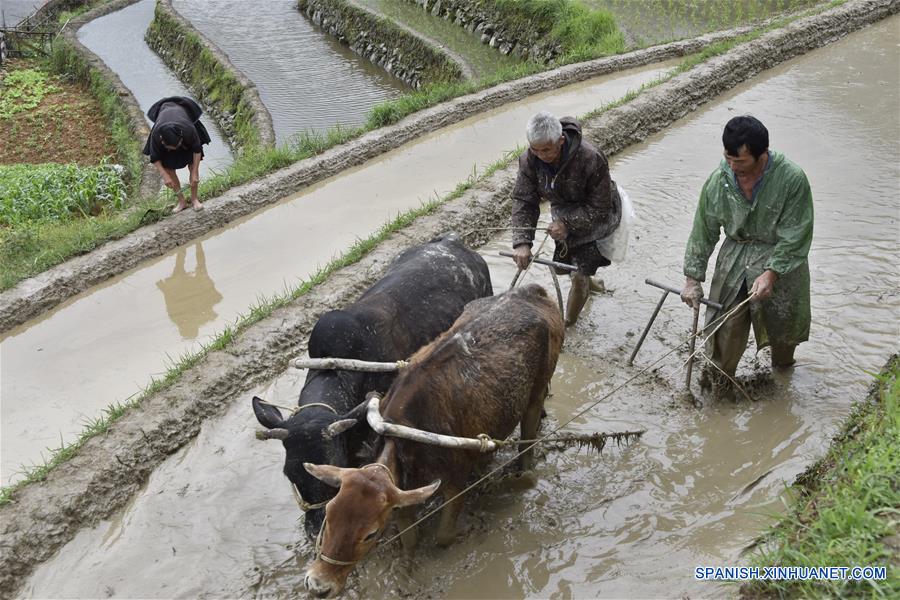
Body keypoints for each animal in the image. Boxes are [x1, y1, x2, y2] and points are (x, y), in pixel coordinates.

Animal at [306, 284, 568, 596]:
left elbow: (443, 537)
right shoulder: (402, 491)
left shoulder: (455, 482)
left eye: (370, 533)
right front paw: (406, 570)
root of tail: (530, 291)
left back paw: (520, 475)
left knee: (528, 438)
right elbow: (410, 540)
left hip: (536, 394)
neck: (407, 437)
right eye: (329, 514)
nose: (318, 585)